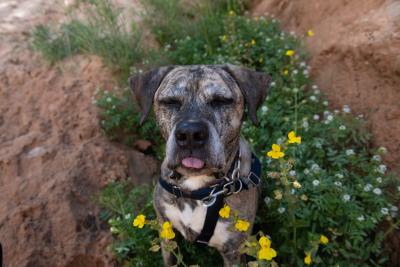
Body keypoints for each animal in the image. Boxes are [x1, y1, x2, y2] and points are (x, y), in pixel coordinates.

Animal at [130, 64, 270, 266]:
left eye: (221, 101)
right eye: (170, 102)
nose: (190, 134)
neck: (196, 184)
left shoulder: (233, 251)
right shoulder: (166, 231)